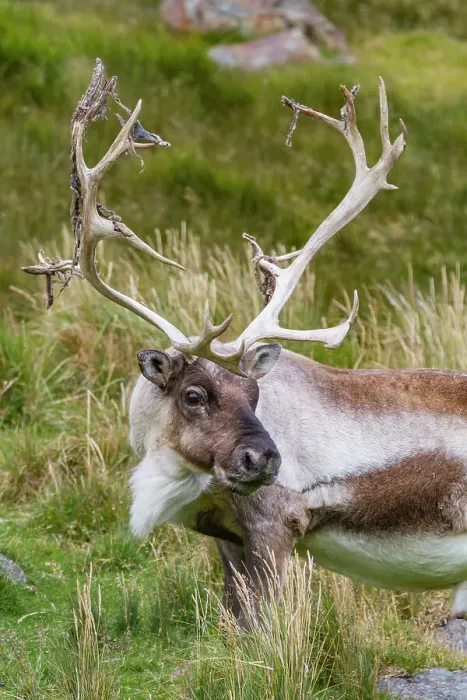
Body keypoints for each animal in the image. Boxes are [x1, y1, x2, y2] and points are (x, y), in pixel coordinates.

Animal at [23, 59, 467, 625]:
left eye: (255, 394)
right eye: (193, 394)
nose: (265, 460)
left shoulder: (276, 527)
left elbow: (267, 625)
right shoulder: (227, 539)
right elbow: (235, 619)